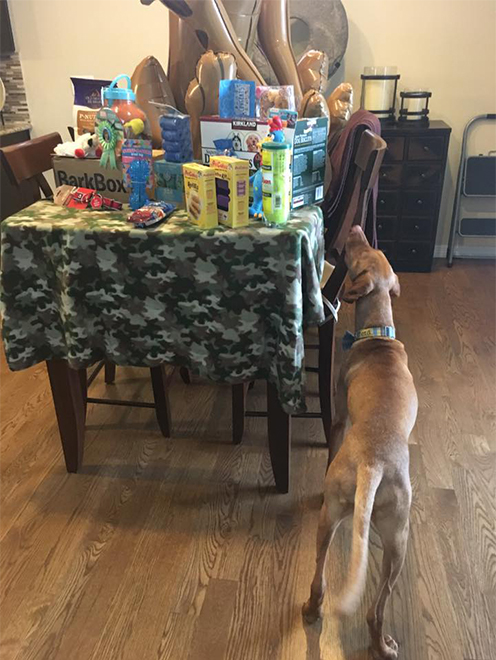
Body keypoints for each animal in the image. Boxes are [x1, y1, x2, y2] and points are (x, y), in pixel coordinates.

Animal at [302, 227, 418, 660]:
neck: (378, 335)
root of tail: (373, 463)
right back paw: (380, 643)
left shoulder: (337, 418)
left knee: (325, 579)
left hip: (338, 515)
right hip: (394, 540)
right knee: (373, 606)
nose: (354, 230)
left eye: (359, 251)